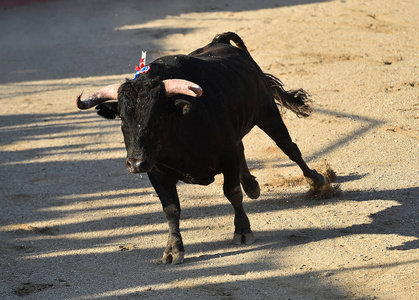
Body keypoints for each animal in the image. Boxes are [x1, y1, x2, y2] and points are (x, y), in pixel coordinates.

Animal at [77, 31, 326, 264]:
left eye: (157, 117)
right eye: (122, 119)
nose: (136, 163)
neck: (181, 126)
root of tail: (220, 41)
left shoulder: (227, 155)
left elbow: (232, 192)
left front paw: (243, 231)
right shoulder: (156, 171)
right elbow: (171, 209)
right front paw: (173, 249)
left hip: (267, 112)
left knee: (289, 148)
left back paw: (315, 180)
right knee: (243, 149)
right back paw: (252, 185)